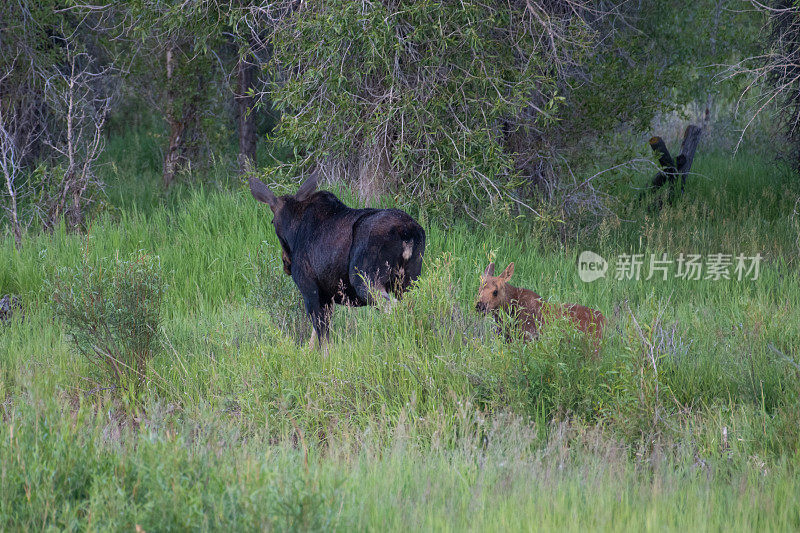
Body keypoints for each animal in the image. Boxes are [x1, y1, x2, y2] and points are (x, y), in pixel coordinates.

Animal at [248, 174, 424, 350]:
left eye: (272, 221)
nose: (286, 264)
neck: (294, 233)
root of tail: (407, 233)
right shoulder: (327, 296)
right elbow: (315, 335)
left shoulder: (310, 289)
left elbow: (323, 337)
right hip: (409, 280)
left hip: (366, 279)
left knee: (392, 307)